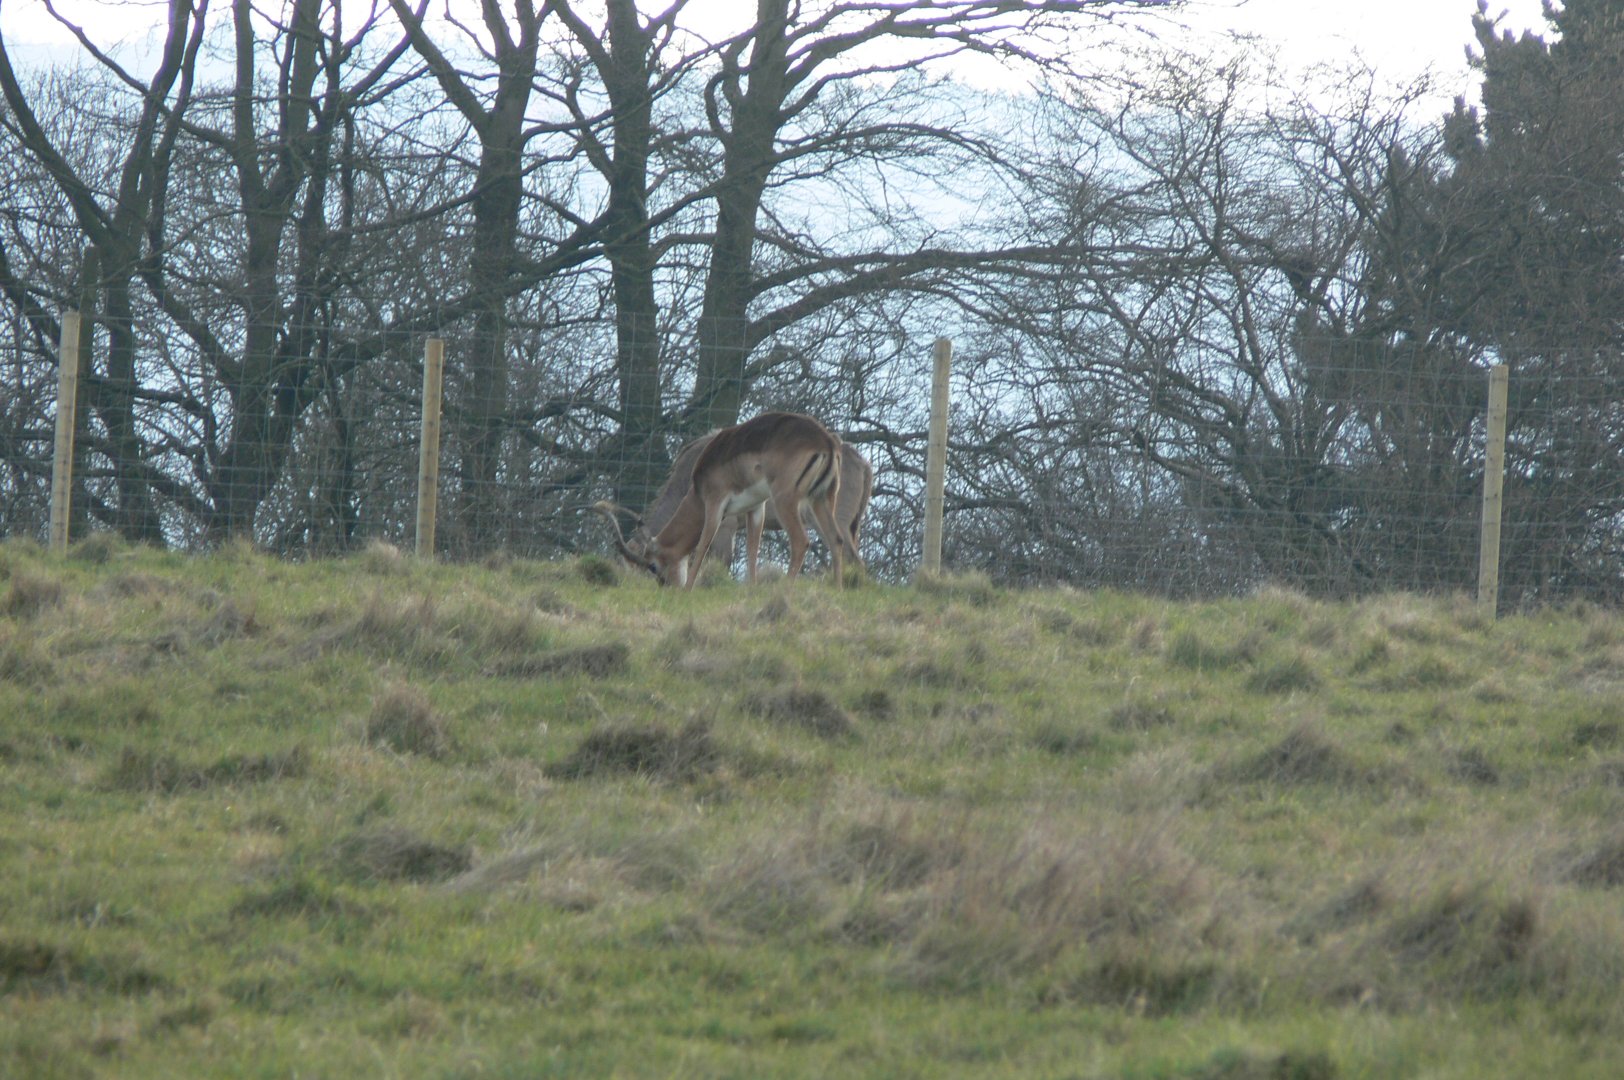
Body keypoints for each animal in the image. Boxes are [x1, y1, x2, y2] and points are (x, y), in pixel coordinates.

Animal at [596, 412, 864, 588]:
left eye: (650, 565)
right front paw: (751, 590)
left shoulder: (718, 512)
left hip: (790, 503)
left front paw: (690, 588)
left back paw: (786, 591)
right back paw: (838, 590)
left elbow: (706, 548)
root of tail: (828, 442)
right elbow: (753, 549)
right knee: (837, 542)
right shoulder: (755, 508)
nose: (667, 586)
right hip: (822, 501)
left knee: (805, 542)